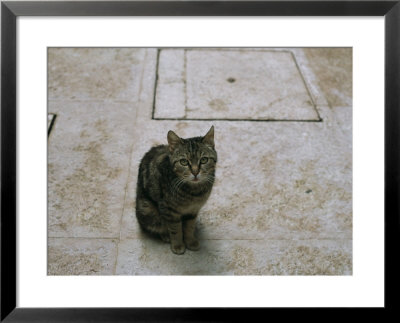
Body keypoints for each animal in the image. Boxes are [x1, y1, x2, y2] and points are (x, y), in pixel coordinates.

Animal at [136, 126, 217, 256]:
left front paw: (190, 241)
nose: (195, 172)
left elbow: (189, 227)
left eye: (204, 160)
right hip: (148, 210)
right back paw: (165, 235)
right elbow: (175, 229)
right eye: (183, 162)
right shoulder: (169, 210)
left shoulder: (193, 210)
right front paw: (178, 244)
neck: (194, 192)